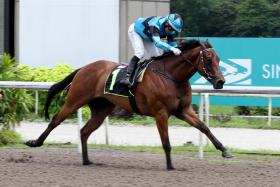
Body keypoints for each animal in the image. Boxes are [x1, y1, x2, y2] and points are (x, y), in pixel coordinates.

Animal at [26, 40, 233, 170]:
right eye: (208, 60)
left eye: (219, 59)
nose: (220, 82)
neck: (172, 76)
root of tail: (83, 68)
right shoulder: (160, 113)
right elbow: (166, 142)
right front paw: (170, 165)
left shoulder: (183, 110)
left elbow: (204, 127)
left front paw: (225, 151)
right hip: (75, 100)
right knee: (55, 120)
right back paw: (35, 142)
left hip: (101, 109)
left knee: (84, 131)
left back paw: (87, 161)